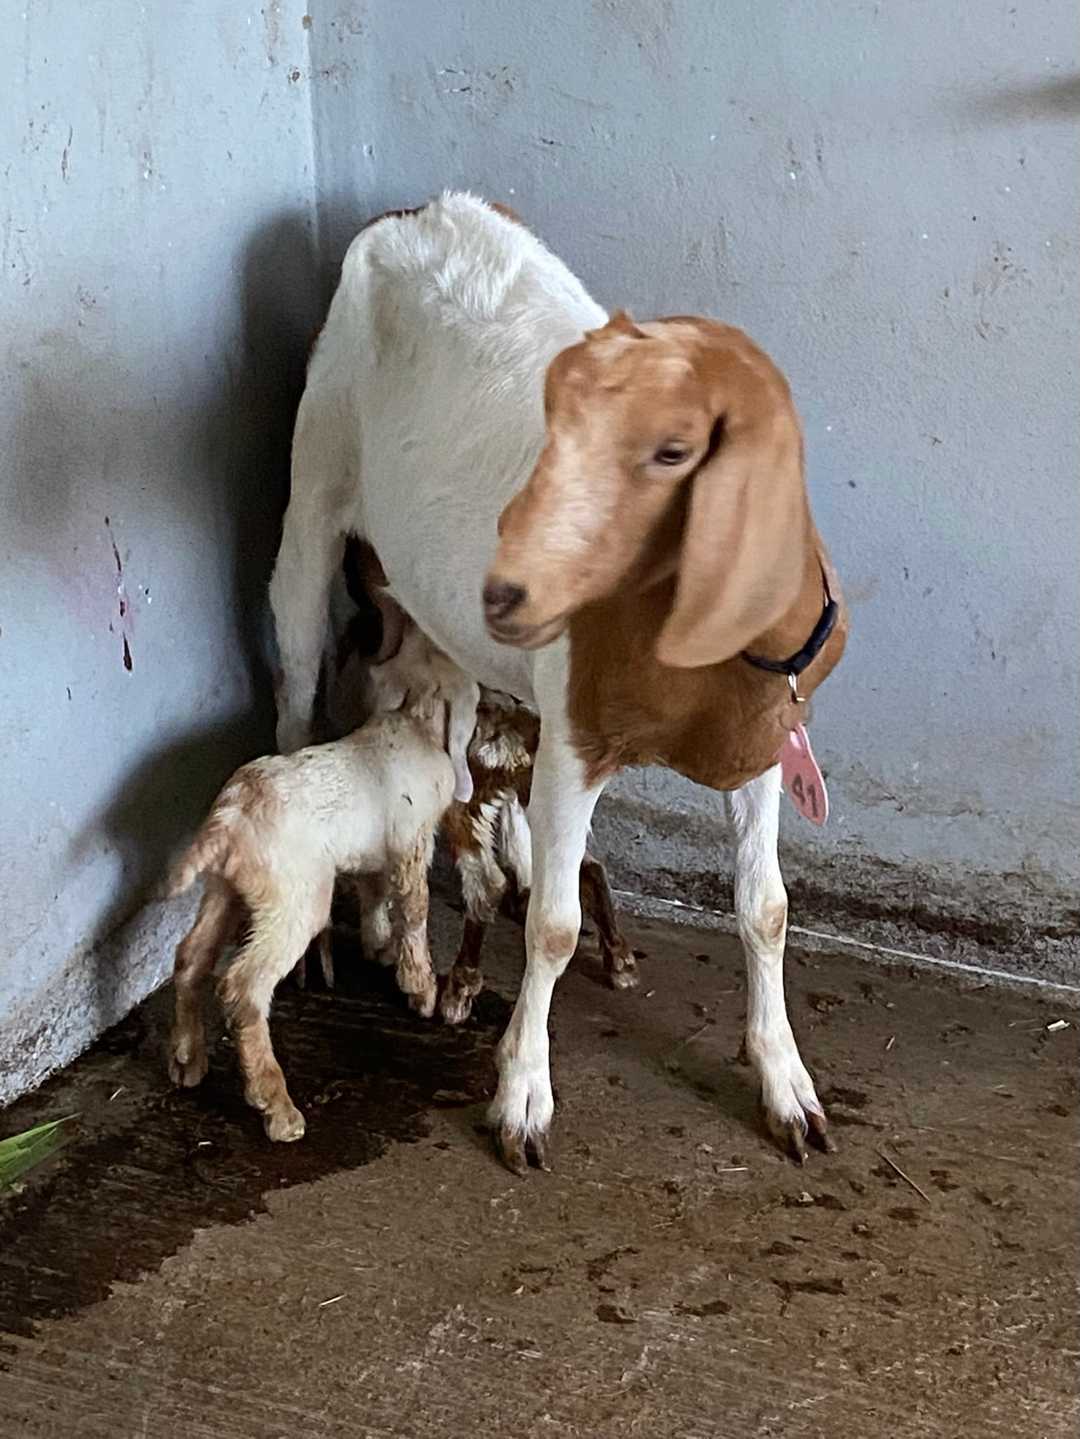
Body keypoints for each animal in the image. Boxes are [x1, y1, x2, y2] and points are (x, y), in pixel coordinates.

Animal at [164, 626, 477, 1141]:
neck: (411, 720)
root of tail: (230, 817)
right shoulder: (412, 842)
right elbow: (414, 909)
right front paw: (420, 988)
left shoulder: (377, 853)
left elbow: (375, 891)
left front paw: (379, 946)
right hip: (295, 898)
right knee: (243, 986)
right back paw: (276, 1107)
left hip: (226, 887)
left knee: (192, 956)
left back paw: (188, 1061)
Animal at [269, 193, 847, 1173]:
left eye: (676, 451)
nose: (516, 587)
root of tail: (423, 211)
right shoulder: (577, 737)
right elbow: (553, 923)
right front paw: (522, 1098)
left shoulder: (763, 734)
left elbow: (765, 906)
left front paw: (786, 1083)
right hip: (313, 486)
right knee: (294, 689)